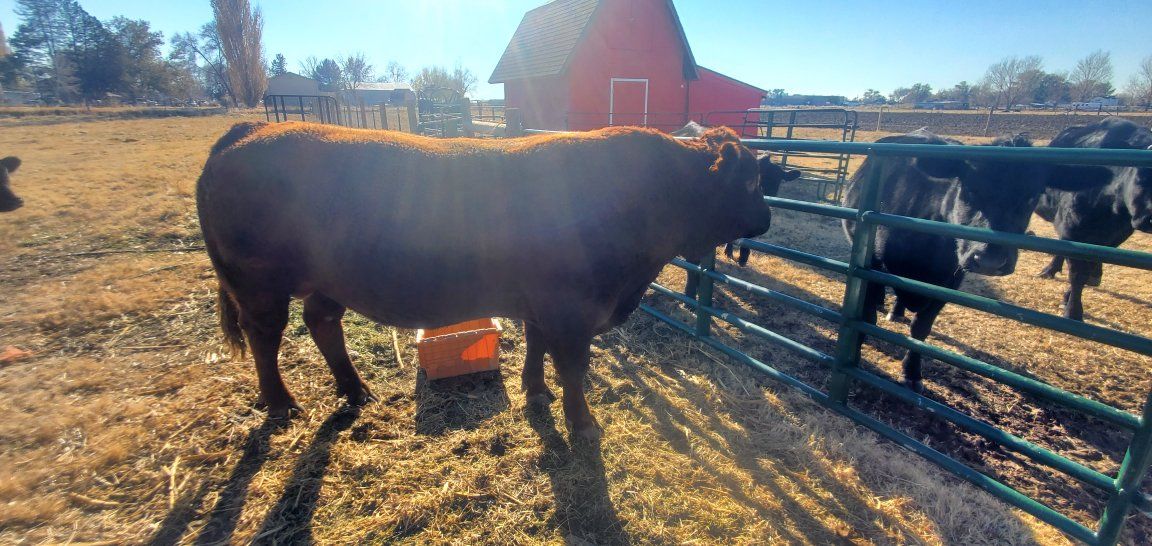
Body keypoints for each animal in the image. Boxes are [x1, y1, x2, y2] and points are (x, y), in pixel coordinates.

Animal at [197, 121, 772, 442]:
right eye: (748, 181)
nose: (766, 219)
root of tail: (248, 131)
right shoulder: (571, 309)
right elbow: (573, 368)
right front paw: (583, 425)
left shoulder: (543, 304)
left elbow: (537, 348)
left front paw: (534, 393)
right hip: (258, 286)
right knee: (265, 338)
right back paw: (281, 403)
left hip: (327, 280)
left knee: (322, 322)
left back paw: (355, 389)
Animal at [843, 129, 1112, 392]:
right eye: (970, 189)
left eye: (1031, 196)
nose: (990, 260)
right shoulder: (872, 267)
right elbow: (867, 317)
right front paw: (855, 353)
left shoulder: (950, 282)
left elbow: (921, 329)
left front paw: (912, 373)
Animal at [1033, 118, 1152, 321]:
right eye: (1140, 177)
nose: (1148, 219)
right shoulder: (1072, 229)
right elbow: (1078, 274)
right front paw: (1073, 311)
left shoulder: (1115, 236)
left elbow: (1089, 266)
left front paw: (1070, 296)